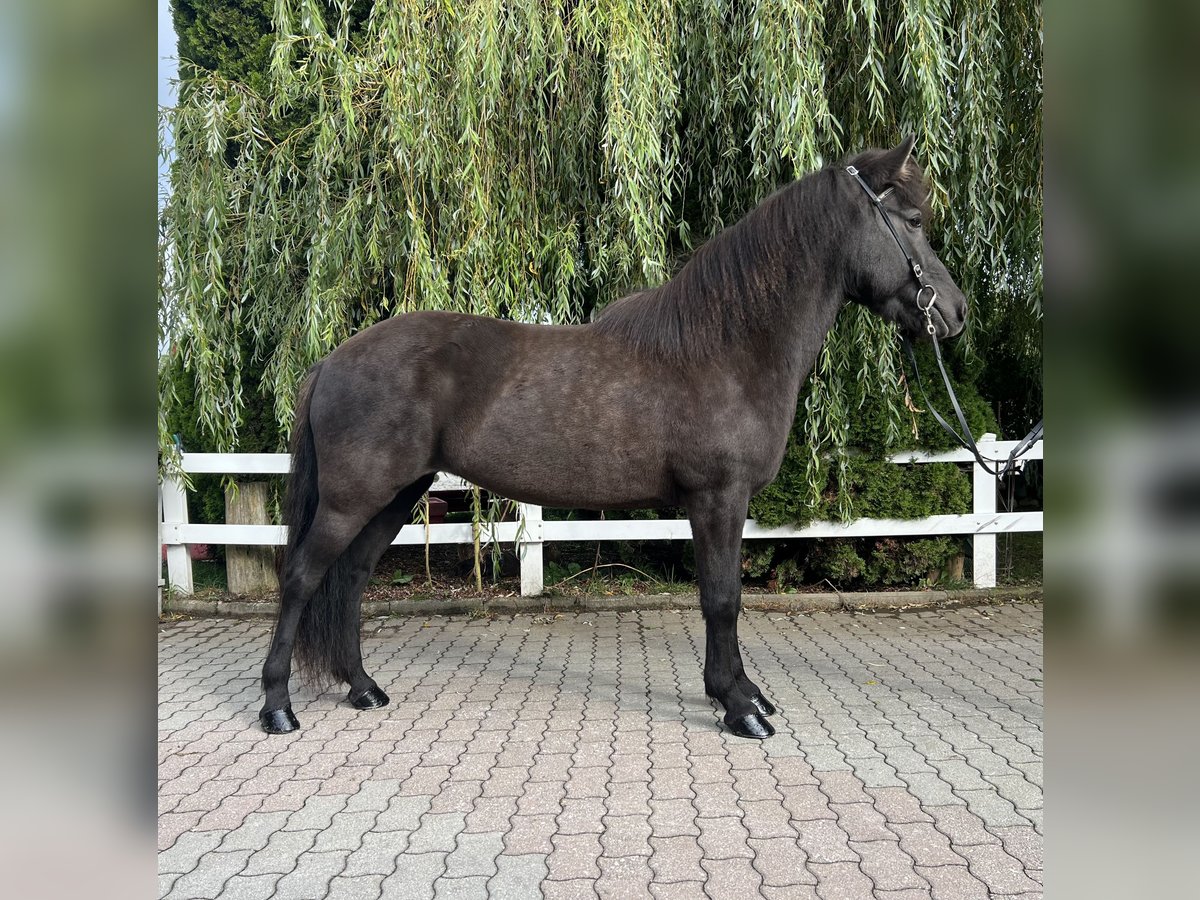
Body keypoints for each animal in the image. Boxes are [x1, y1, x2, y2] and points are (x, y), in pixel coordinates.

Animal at [260, 135, 964, 739]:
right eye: (912, 219)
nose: (953, 314)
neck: (725, 349)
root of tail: (332, 360)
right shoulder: (718, 499)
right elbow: (722, 598)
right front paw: (738, 706)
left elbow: (724, 596)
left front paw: (744, 694)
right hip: (354, 498)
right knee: (301, 576)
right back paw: (277, 707)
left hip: (400, 494)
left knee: (351, 577)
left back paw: (363, 688)